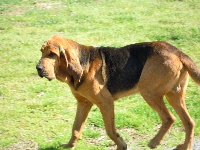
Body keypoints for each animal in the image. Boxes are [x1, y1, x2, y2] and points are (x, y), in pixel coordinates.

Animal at [36, 34, 200, 149]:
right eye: (42, 52)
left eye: (52, 54)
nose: (38, 68)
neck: (84, 63)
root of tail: (177, 51)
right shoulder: (83, 103)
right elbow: (76, 128)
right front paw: (69, 146)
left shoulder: (105, 102)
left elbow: (110, 130)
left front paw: (121, 145)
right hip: (173, 96)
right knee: (189, 122)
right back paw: (184, 147)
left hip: (150, 93)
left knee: (169, 118)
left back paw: (154, 142)